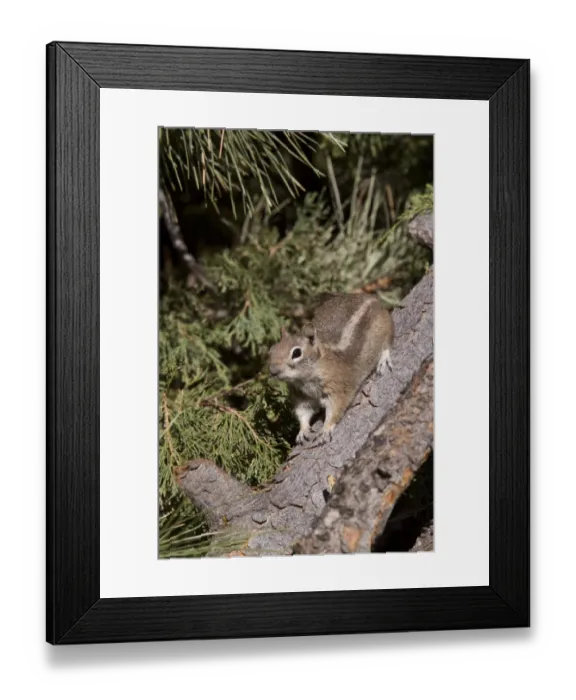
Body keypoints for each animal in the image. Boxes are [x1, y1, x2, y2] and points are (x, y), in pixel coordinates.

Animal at [268, 292, 394, 446]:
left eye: (296, 353)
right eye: (272, 350)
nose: (273, 371)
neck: (305, 378)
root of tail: (373, 298)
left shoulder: (338, 387)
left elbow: (335, 409)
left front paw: (325, 429)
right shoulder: (301, 396)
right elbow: (302, 412)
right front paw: (302, 431)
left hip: (385, 325)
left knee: (388, 342)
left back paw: (384, 359)